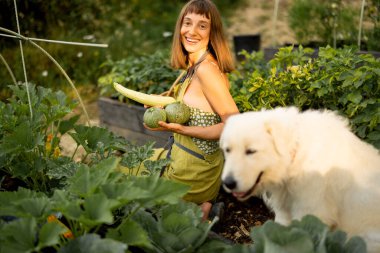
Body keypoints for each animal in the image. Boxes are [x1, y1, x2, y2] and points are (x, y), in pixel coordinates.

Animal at [220, 107, 380, 253]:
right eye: (228, 150)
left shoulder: (309, 211)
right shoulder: (284, 208)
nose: (228, 183)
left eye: (251, 151)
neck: (295, 155)